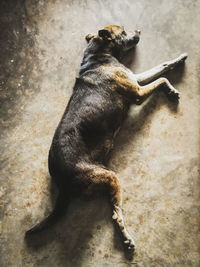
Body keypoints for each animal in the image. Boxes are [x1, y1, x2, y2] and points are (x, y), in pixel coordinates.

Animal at [25, 25, 187, 258]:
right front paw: (171, 89)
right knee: (116, 215)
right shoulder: (137, 91)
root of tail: (62, 181)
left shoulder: (135, 78)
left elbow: (161, 67)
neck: (98, 56)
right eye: (123, 31)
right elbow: (161, 79)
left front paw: (179, 59)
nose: (139, 31)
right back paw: (127, 240)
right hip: (110, 176)